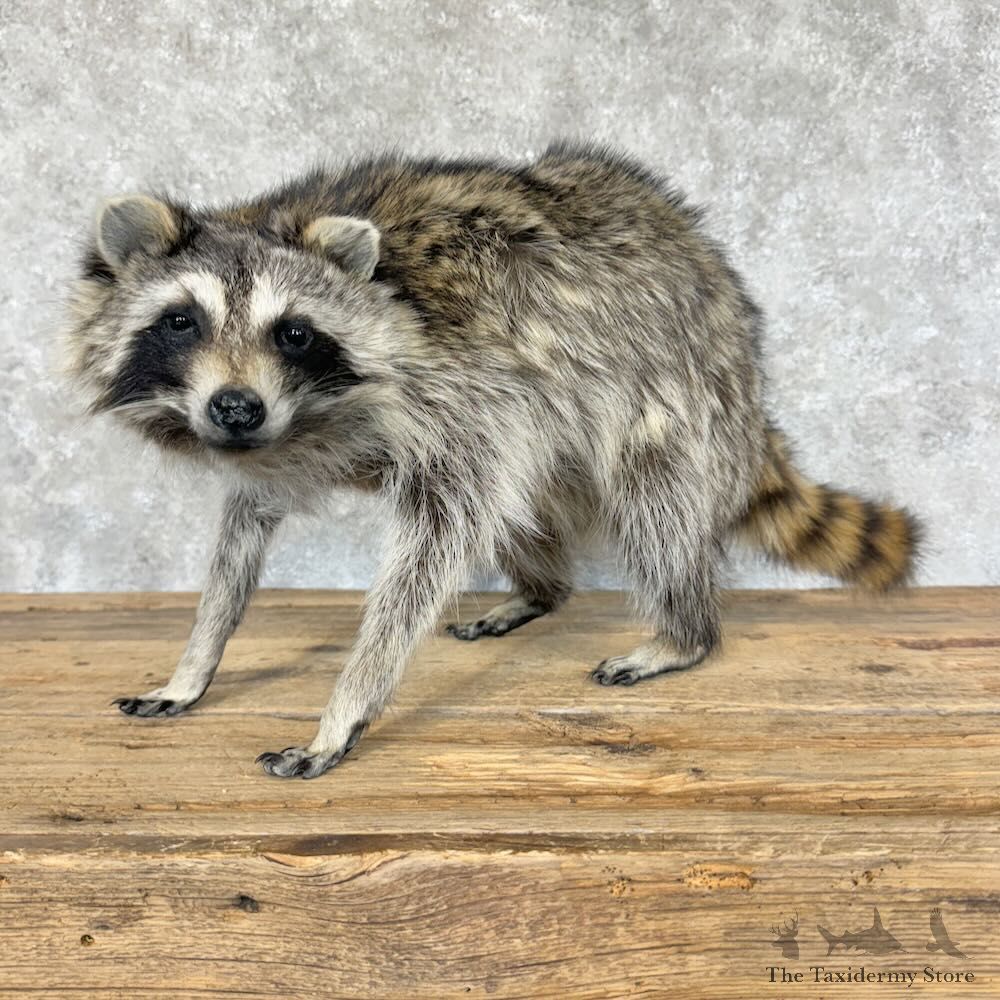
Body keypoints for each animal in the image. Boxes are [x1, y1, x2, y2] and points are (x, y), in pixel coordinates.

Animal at [64, 143, 920, 778]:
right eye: (181, 321)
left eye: (295, 333)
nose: (236, 408)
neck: (312, 413)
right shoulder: (275, 449)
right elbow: (243, 532)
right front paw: (195, 661)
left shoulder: (453, 392)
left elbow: (438, 537)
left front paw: (346, 704)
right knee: (524, 501)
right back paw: (541, 590)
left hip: (674, 389)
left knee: (652, 507)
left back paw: (681, 632)